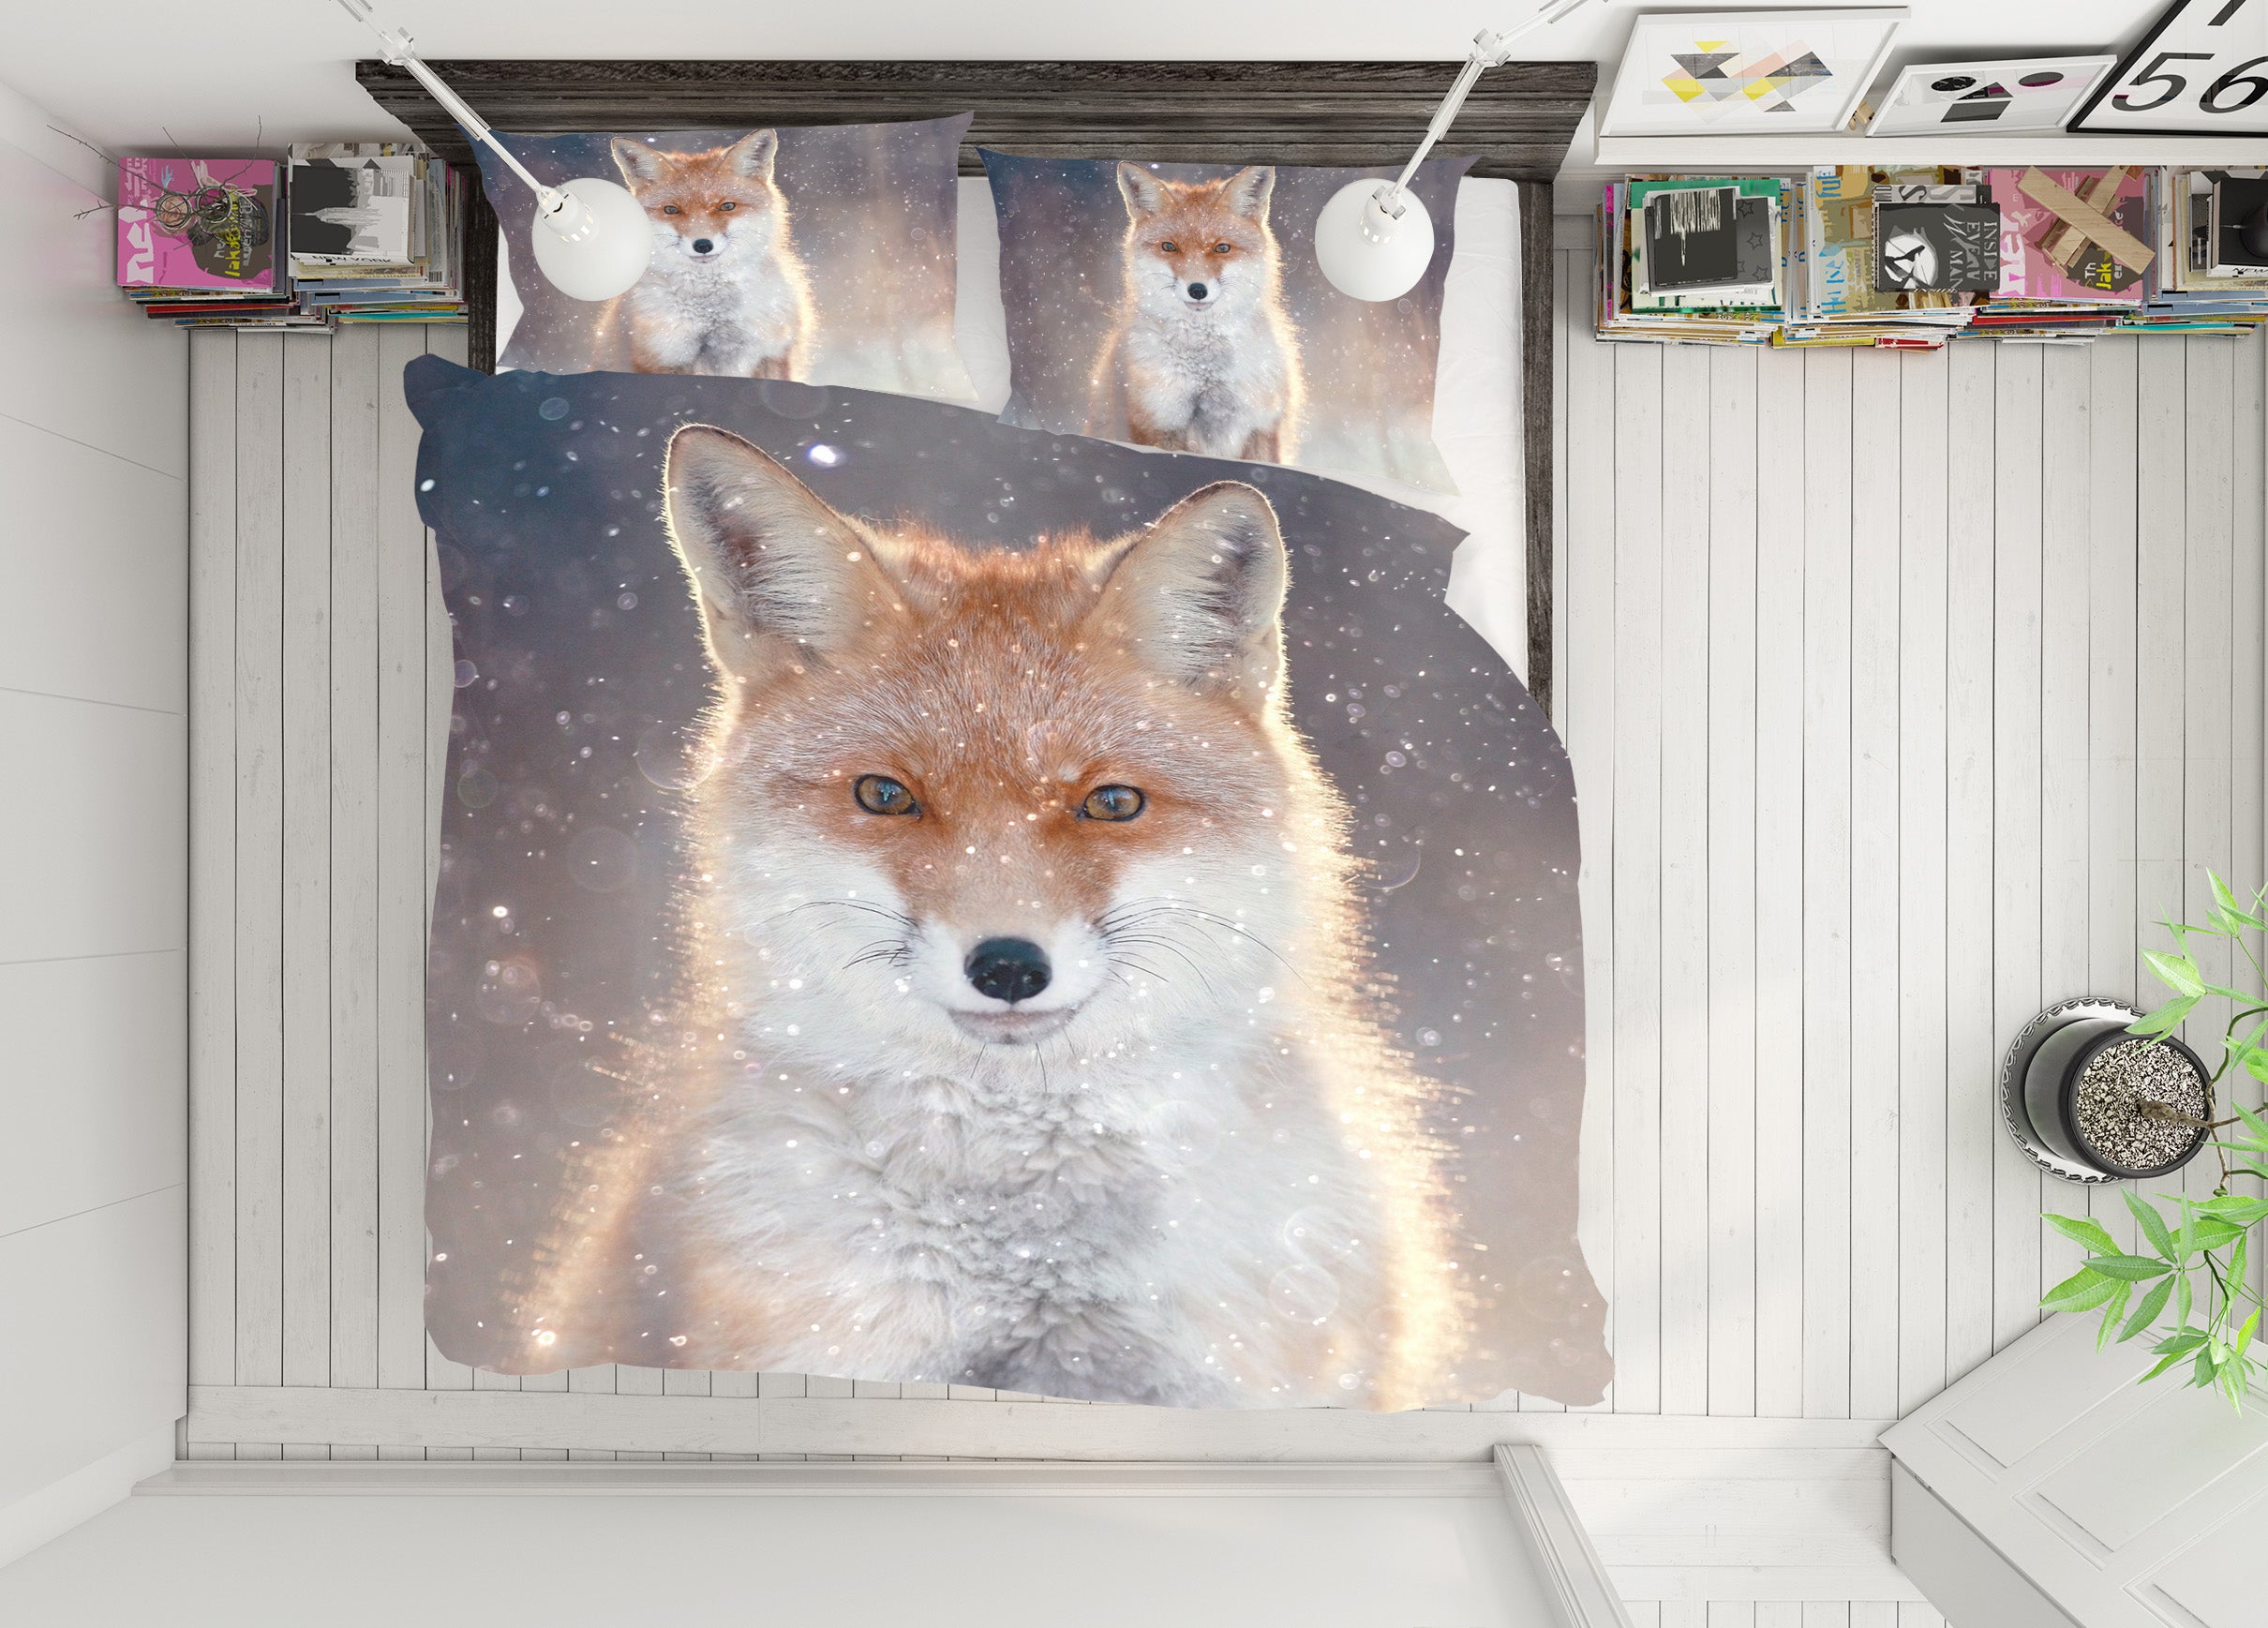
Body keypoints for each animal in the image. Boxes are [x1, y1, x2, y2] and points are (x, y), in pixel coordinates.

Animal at [598, 131, 815, 379]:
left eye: (727, 206)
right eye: (671, 210)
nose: (702, 245)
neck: (712, 312)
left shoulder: (772, 353)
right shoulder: (662, 357)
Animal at [1088, 163, 1305, 465]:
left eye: (1222, 248)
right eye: (1169, 246)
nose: (1198, 290)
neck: (1206, 370)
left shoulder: (1261, 424)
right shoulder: (1159, 421)